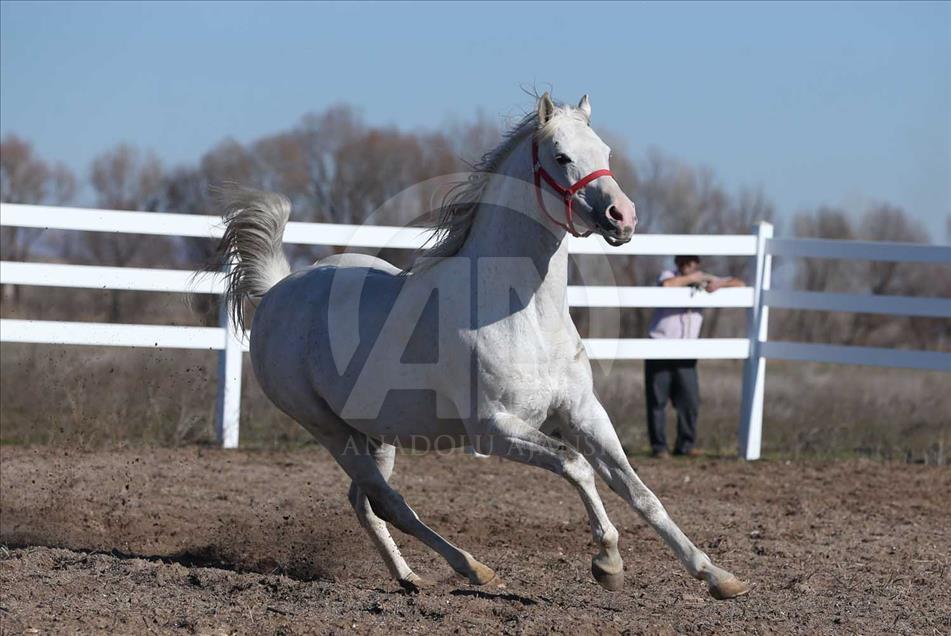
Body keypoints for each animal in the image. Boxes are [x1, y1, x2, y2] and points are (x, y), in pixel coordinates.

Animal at [211, 93, 750, 600]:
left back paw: (410, 578)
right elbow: (576, 467)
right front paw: (608, 564)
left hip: (374, 432)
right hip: (327, 429)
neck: (525, 316)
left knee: (365, 502)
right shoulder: (495, 429)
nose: (623, 217)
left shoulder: (582, 413)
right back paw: (473, 569)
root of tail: (277, 292)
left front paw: (718, 577)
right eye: (560, 156)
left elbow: (639, 490)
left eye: (605, 153)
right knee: (389, 502)